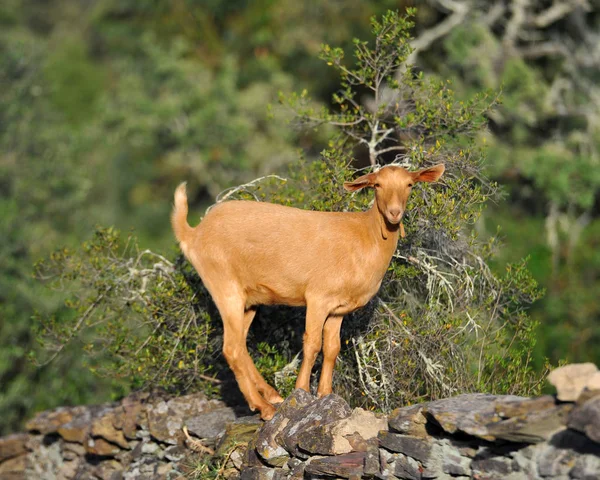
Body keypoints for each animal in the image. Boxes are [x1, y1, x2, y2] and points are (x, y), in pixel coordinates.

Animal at [171, 165, 442, 420]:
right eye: (377, 184)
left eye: (409, 184)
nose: (395, 213)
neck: (366, 236)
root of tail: (193, 234)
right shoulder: (317, 297)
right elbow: (312, 344)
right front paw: (301, 391)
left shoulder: (338, 308)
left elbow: (332, 348)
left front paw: (325, 394)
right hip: (225, 286)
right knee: (231, 349)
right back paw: (265, 408)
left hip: (248, 300)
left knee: (240, 344)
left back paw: (271, 395)